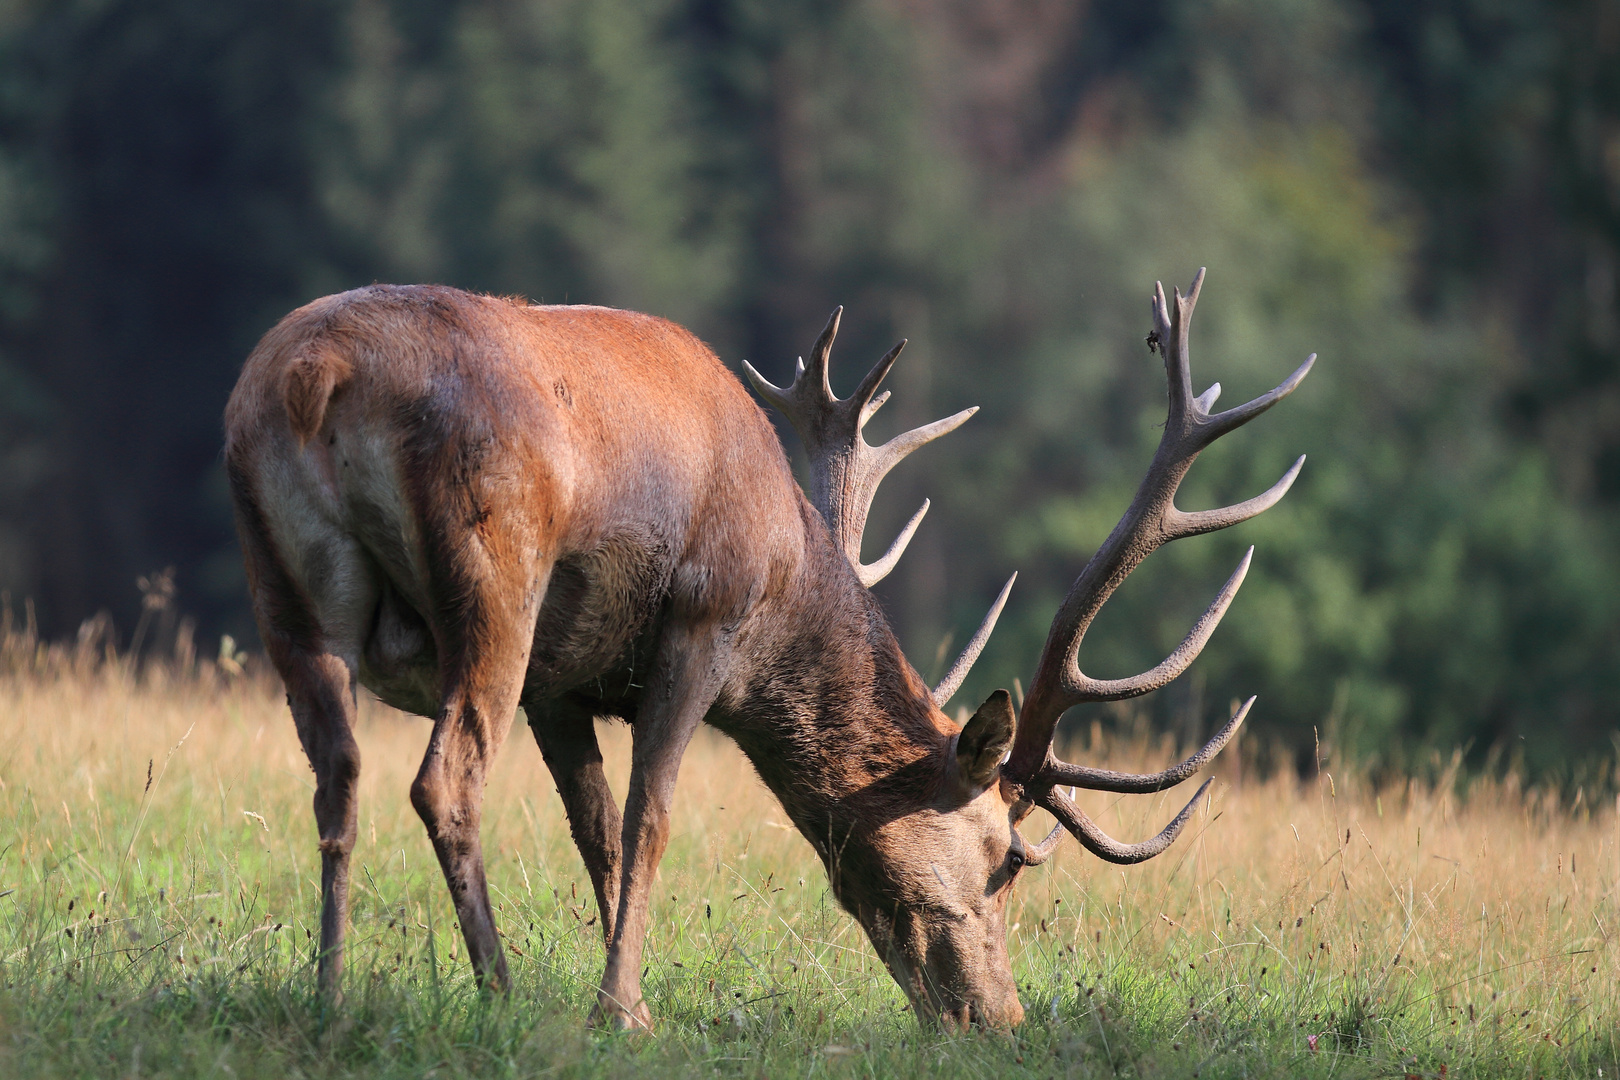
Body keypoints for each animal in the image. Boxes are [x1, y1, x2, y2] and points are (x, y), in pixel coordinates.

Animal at [225, 265, 1315, 1029]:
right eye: (1008, 860)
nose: (999, 1018)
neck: (789, 573)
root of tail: (314, 377)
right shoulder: (703, 621)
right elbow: (649, 818)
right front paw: (624, 1011)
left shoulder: (561, 683)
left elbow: (593, 828)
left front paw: (617, 988)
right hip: (496, 573)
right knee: (442, 779)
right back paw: (495, 992)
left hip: (285, 585)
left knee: (338, 773)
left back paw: (328, 993)